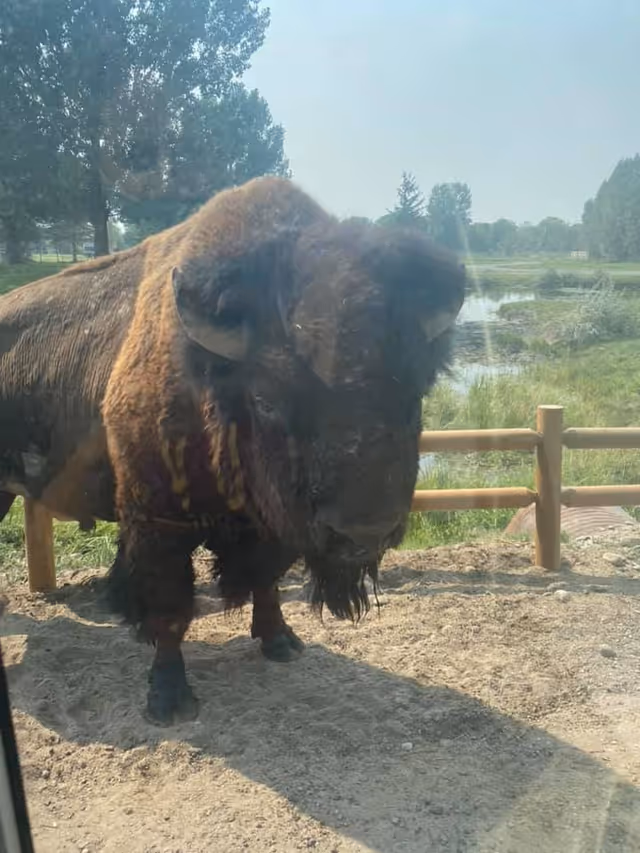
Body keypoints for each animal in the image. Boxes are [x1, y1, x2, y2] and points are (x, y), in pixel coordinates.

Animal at [0, 178, 465, 724]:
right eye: (266, 399)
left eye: (417, 390)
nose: (363, 532)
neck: (212, 386)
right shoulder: (159, 524)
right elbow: (171, 608)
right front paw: (169, 698)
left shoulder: (274, 527)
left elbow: (266, 581)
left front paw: (280, 641)